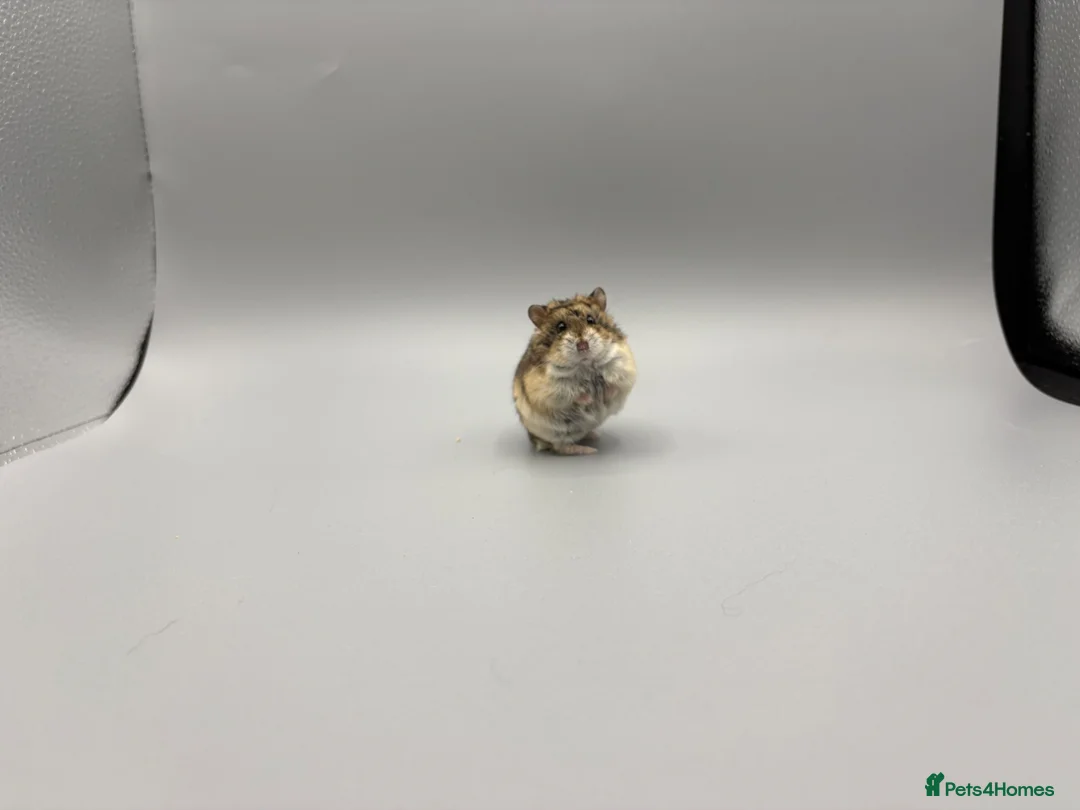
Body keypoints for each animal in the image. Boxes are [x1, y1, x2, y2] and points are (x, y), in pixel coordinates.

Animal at [512, 287, 637, 455]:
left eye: (590, 320)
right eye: (561, 327)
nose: (583, 345)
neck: (585, 365)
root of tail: (536, 440)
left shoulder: (622, 368)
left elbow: (613, 386)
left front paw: (603, 396)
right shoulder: (551, 388)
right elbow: (573, 393)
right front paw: (590, 399)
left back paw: (593, 435)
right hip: (555, 433)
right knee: (561, 447)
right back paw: (588, 450)